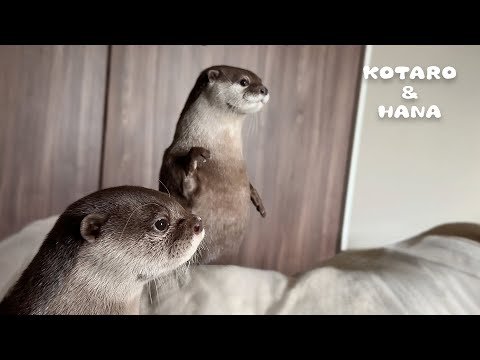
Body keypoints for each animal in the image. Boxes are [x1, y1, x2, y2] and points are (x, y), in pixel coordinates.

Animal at [159, 64, 268, 264]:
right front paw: (193, 160)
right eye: (244, 81)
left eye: (261, 81)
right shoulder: (171, 156)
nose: (264, 90)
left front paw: (257, 200)